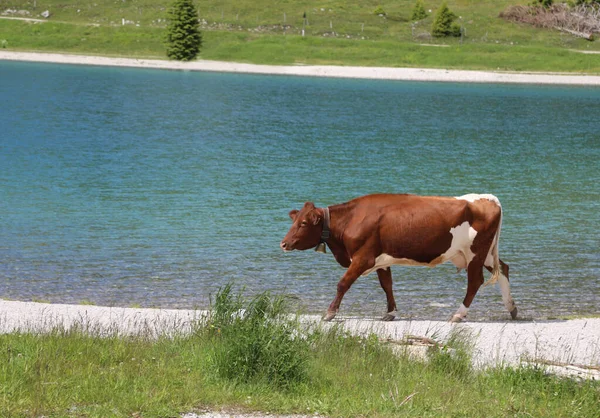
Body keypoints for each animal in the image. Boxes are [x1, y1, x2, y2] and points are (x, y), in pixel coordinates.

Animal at [278, 194, 516, 322]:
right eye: (294, 220)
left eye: (303, 223)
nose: (284, 243)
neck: (351, 219)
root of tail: (487, 198)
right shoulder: (381, 259)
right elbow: (387, 285)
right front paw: (390, 312)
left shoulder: (363, 258)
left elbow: (342, 284)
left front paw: (330, 313)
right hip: (486, 253)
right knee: (503, 268)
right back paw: (512, 308)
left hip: (476, 252)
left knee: (475, 281)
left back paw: (458, 315)